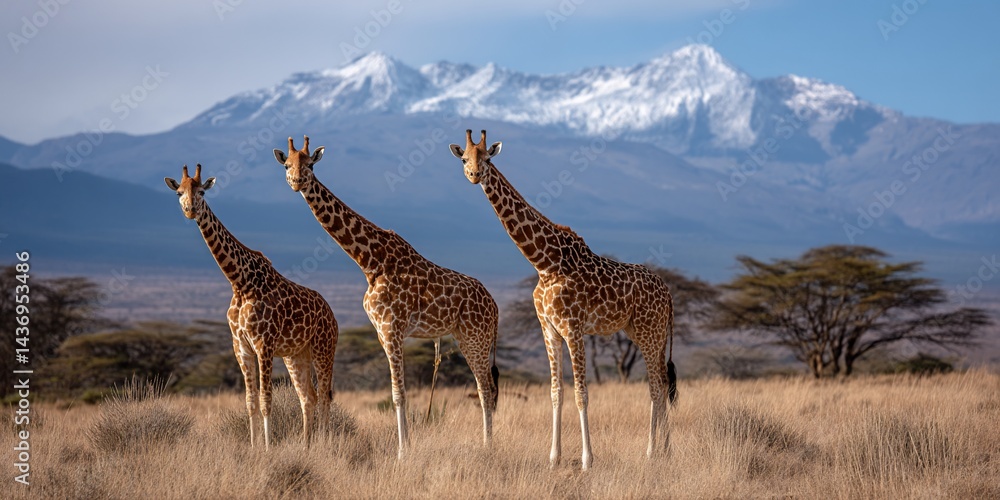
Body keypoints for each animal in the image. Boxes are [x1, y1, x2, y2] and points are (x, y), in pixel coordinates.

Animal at [164, 164, 338, 450]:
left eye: (202, 191)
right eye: (179, 192)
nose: (190, 210)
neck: (239, 282)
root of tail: (331, 314)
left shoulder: (263, 345)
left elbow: (266, 400)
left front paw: (267, 448)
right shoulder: (241, 346)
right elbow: (250, 402)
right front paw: (255, 447)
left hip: (324, 348)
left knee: (324, 395)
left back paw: (324, 444)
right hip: (296, 355)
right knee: (308, 397)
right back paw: (306, 445)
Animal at [274, 136, 500, 459]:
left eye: (310, 165)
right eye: (287, 165)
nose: (296, 182)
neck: (370, 261)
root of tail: (495, 307)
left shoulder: (393, 327)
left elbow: (398, 393)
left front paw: (403, 453)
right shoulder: (381, 331)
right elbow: (397, 392)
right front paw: (406, 447)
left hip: (475, 336)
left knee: (486, 389)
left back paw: (487, 447)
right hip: (464, 336)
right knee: (486, 388)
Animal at [450, 130, 677, 470]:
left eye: (487, 158)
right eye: (464, 158)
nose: (475, 175)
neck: (544, 264)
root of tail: (668, 293)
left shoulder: (574, 328)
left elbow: (581, 393)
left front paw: (587, 460)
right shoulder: (549, 329)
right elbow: (556, 392)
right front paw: (554, 458)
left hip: (651, 332)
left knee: (656, 385)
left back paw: (652, 452)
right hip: (644, 332)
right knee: (662, 382)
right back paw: (664, 450)